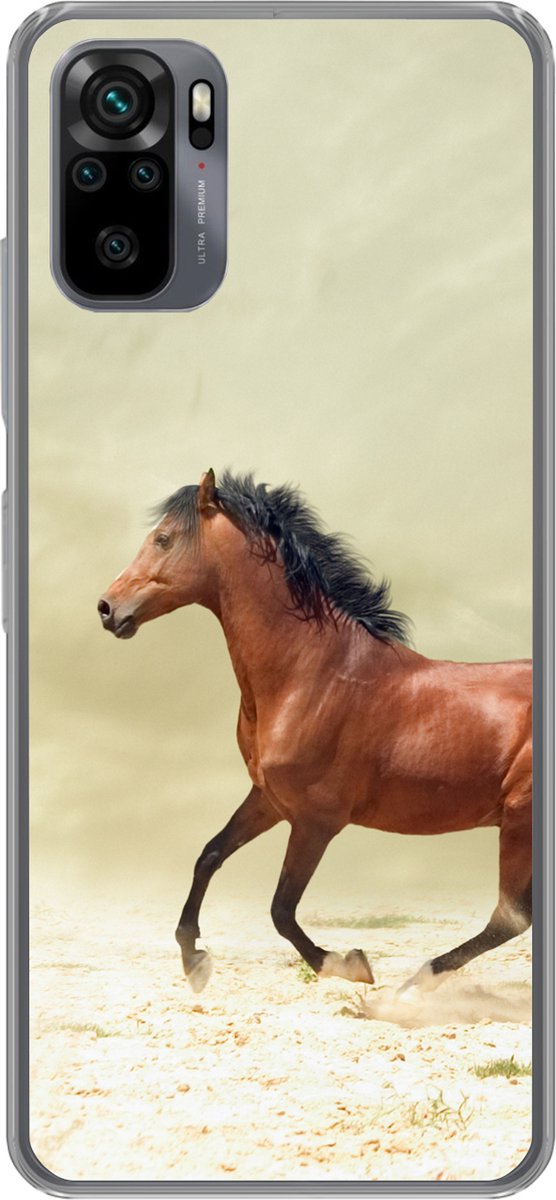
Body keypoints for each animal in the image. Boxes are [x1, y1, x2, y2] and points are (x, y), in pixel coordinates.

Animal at [98, 469, 532, 996]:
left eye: (163, 538)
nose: (107, 608)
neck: (312, 674)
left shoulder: (316, 821)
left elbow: (281, 910)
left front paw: (346, 964)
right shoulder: (268, 798)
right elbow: (210, 855)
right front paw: (194, 959)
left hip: (518, 821)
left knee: (509, 917)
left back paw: (415, 982)